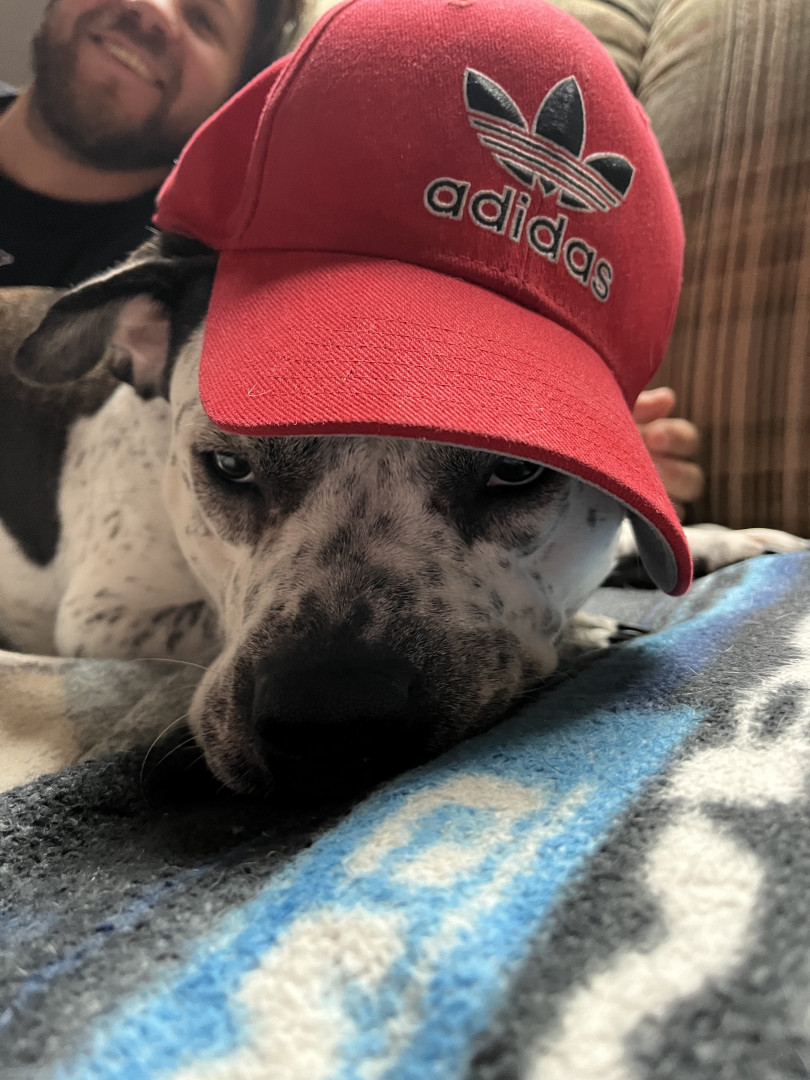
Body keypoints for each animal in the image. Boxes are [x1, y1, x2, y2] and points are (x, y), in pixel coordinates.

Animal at [0, 234, 804, 798]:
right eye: (229, 465)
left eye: (516, 470)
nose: (329, 722)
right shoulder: (102, 614)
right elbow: (199, 619)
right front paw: (584, 630)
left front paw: (711, 537)